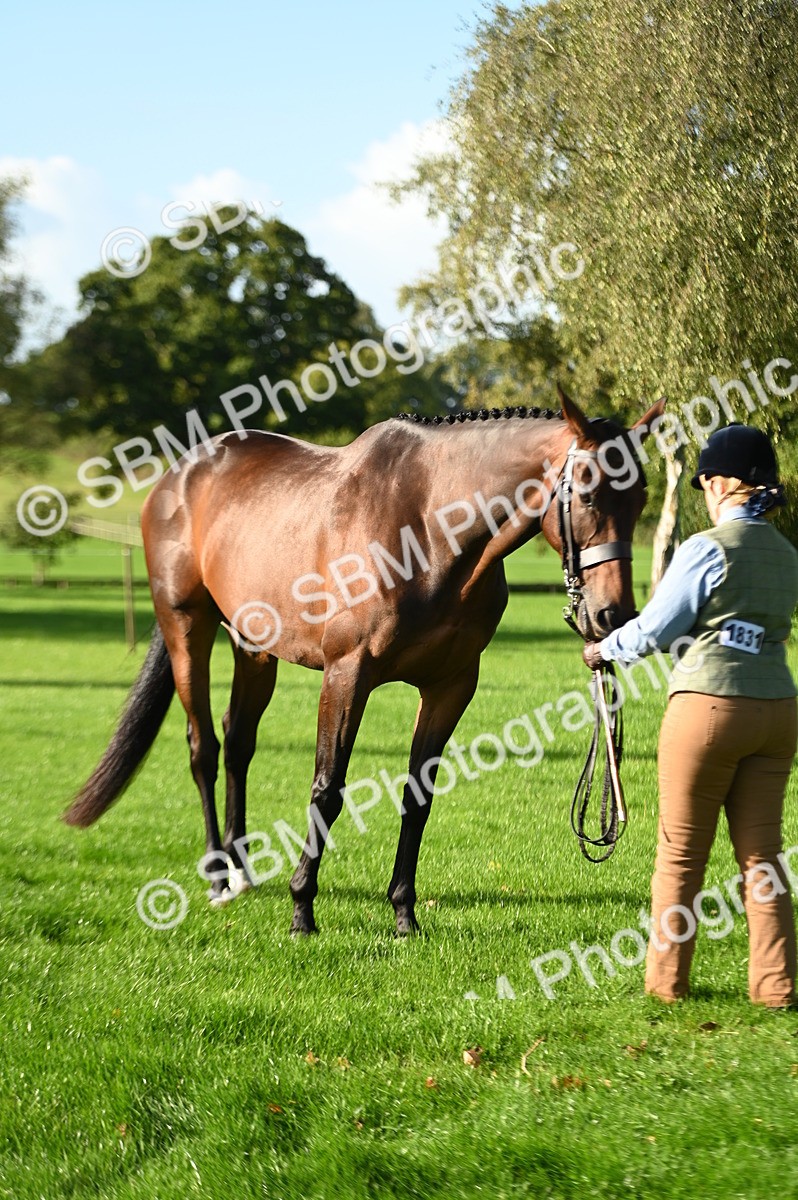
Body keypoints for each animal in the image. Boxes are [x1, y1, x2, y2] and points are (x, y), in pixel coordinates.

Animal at [65, 387, 664, 936]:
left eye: (639, 498)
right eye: (587, 494)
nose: (612, 614)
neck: (425, 530)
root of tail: (179, 475)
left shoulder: (452, 685)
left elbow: (418, 797)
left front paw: (404, 914)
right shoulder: (347, 673)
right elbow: (327, 789)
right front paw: (302, 910)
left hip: (252, 645)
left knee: (238, 742)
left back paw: (241, 871)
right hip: (187, 627)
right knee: (203, 747)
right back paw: (217, 876)